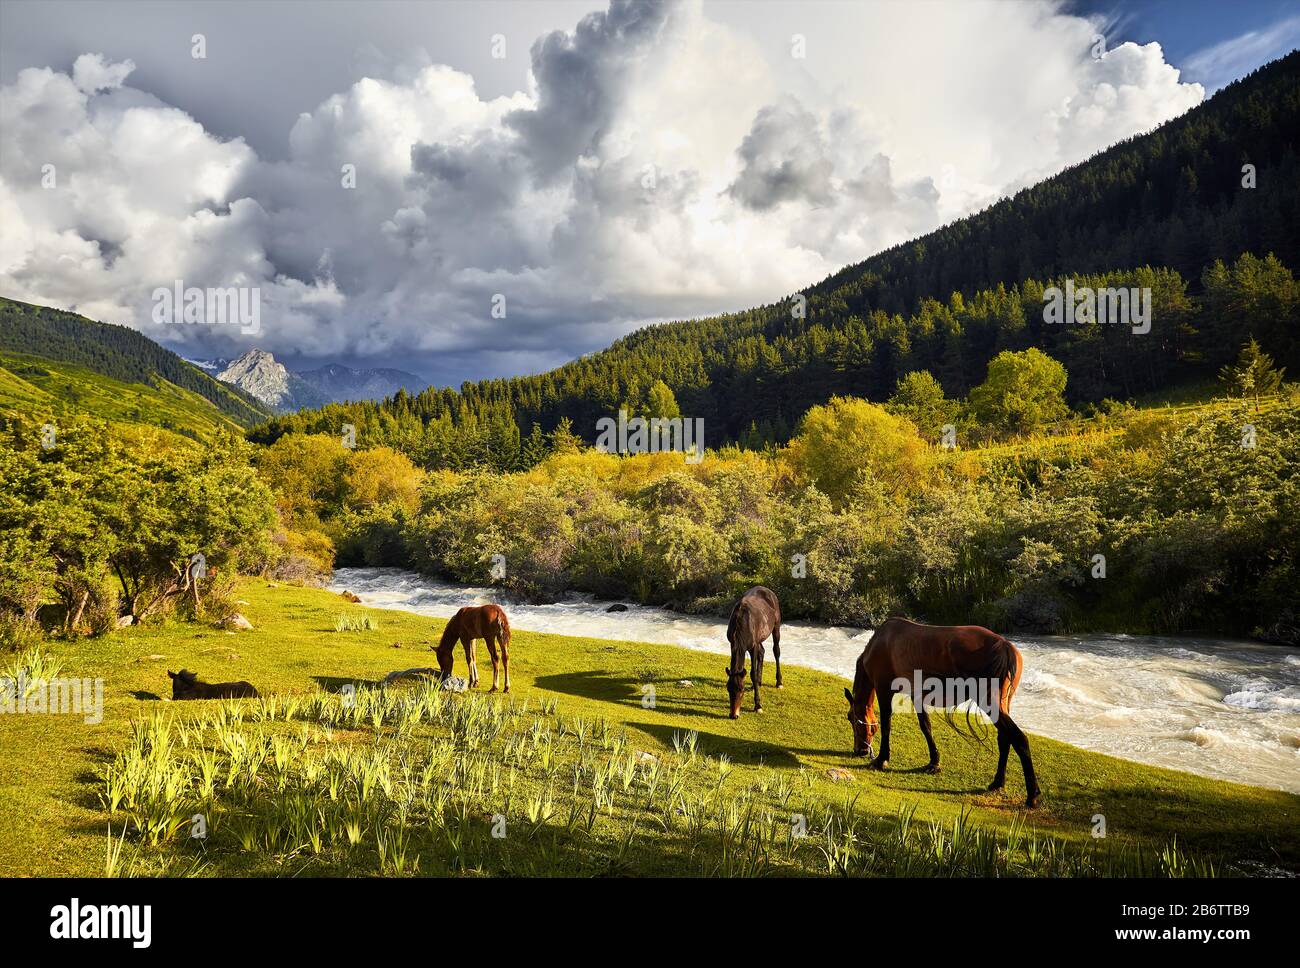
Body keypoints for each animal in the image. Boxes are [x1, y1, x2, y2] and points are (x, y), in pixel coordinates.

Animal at [722, 582, 780, 717]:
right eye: (728, 688)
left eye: (741, 689)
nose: (733, 715)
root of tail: (768, 591)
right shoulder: (734, 644)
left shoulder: (753, 646)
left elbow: (752, 673)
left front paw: (758, 705)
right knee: (762, 652)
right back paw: (757, 683)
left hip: (776, 627)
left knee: (776, 651)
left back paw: (779, 682)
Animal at [842, 610, 1045, 805]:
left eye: (851, 718)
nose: (860, 750)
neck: (882, 642)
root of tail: (1004, 645)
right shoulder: (916, 695)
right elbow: (926, 727)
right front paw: (934, 762)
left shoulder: (884, 690)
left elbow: (886, 725)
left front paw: (882, 759)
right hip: (1002, 704)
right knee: (1005, 739)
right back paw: (997, 782)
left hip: (989, 703)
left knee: (1018, 738)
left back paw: (1032, 795)